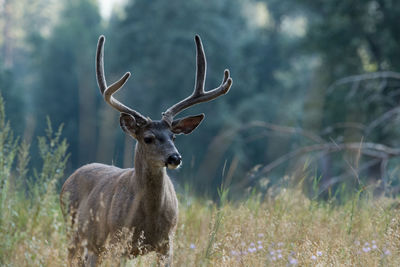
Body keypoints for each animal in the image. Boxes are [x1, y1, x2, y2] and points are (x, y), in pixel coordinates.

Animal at [61, 34, 233, 266]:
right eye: (148, 138)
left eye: (173, 136)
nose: (175, 158)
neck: (149, 219)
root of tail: (71, 177)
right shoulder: (118, 241)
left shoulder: (167, 243)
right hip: (75, 233)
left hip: (95, 245)